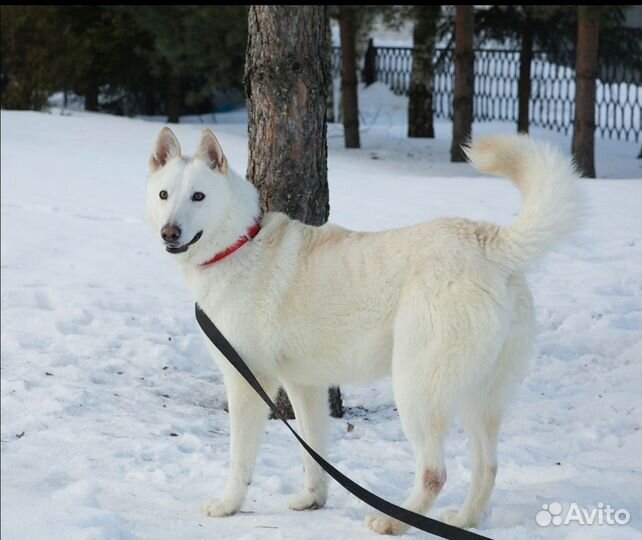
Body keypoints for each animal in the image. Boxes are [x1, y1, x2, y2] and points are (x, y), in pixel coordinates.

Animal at [145, 127, 580, 536]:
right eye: (165, 194)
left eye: (198, 196)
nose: (169, 233)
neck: (237, 245)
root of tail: (489, 244)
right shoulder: (306, 386)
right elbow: (314, 451)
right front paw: (313, 500)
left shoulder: (249, 382)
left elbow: (240, 459)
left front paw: (228, 505)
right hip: (478, 397)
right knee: (487, 466)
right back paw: (464, 520)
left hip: (415, 390)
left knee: (434, 473)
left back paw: (393, 522)